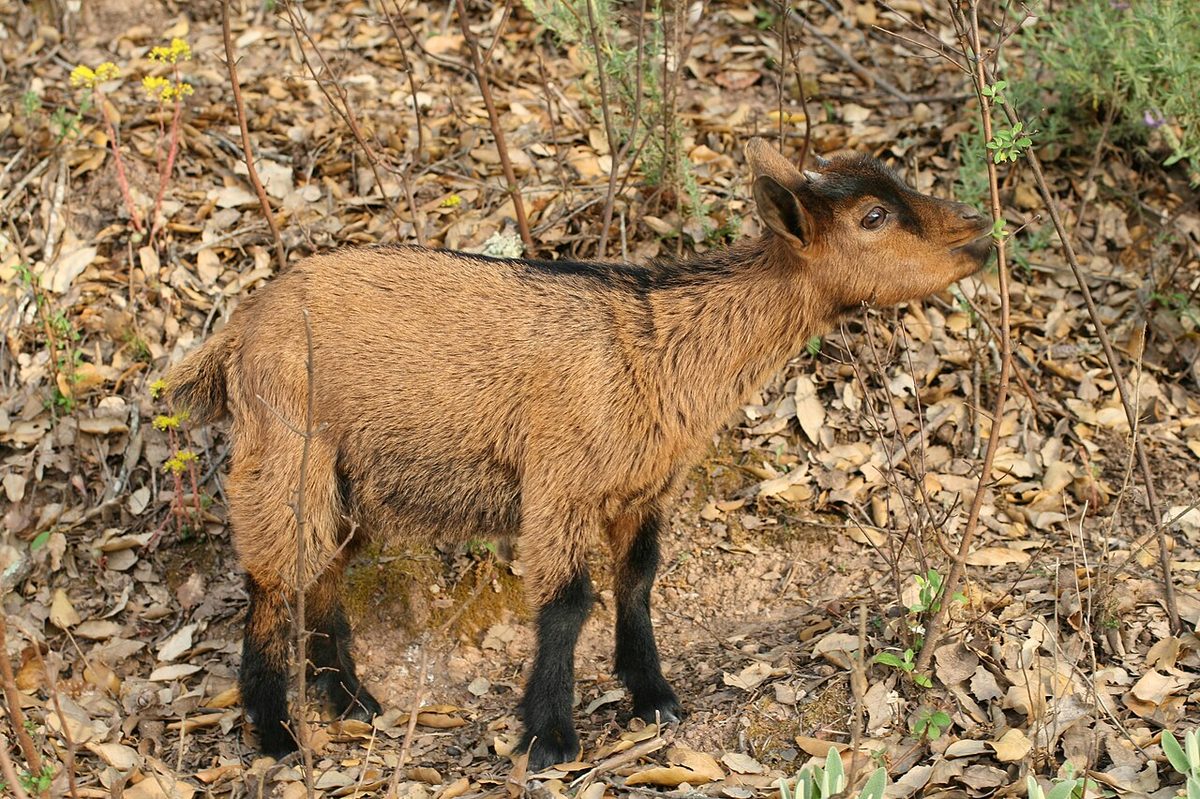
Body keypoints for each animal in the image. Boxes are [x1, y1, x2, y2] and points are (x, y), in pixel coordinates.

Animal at [165, 137, 992, 770]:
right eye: (873, 215)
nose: (979, 230)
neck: (659, 346)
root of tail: (237, 330)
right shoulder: (559, 480)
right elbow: (567, 602)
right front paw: (550, 737)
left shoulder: (646, 487)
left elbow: (637, 579)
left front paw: (652, 695)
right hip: (287, 445)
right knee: (275, 579)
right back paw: (278, 733)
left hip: (350, 474)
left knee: (324, 571)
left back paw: (352, 699)